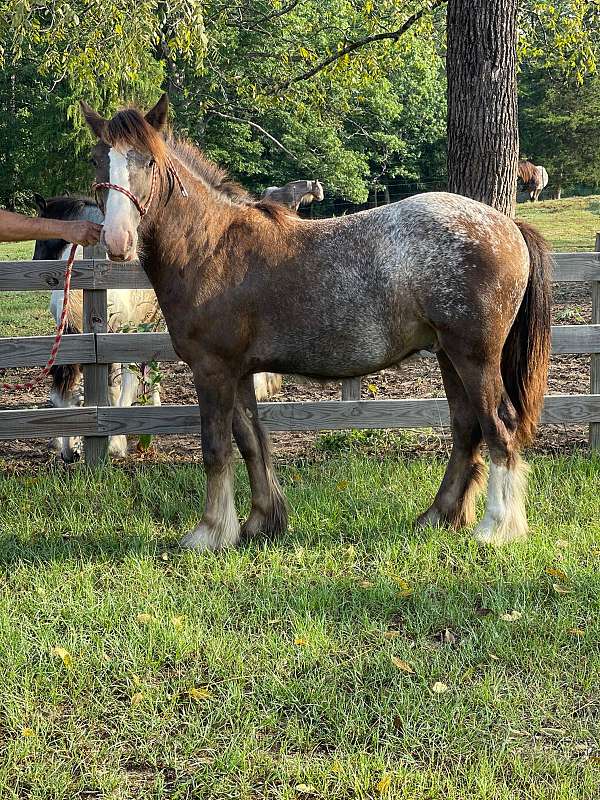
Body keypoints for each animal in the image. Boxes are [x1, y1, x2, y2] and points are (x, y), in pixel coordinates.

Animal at [81, 95, 552, 552]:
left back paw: (496, 528)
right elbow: (252, 442)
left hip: (474, 359)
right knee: (466, 429)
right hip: (448, 357)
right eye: (97, 159)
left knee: (499, 429)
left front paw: (210, 533)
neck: (211, 247)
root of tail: (506, 224)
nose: (117, 240)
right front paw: (260, 522)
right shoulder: (239, 373)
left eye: (148, 161)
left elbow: (216, 449)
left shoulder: (212, 370)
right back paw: (438, 516)